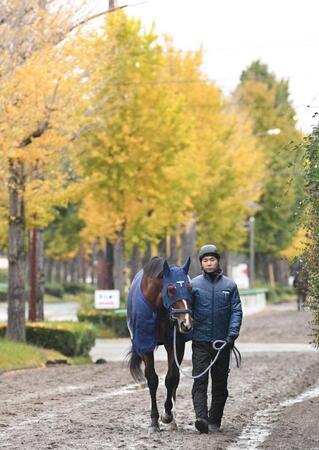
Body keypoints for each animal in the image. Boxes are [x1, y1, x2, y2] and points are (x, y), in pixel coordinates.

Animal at [127, 256, 192, 432]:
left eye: (190, 288)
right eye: (170, 289)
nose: (186, 323)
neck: (159, 309)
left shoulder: (175, 343)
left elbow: (171, 378)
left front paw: (168, 415)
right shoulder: (145, 344)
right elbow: (152, 379)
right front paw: (154, 420)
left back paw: (174, 420)